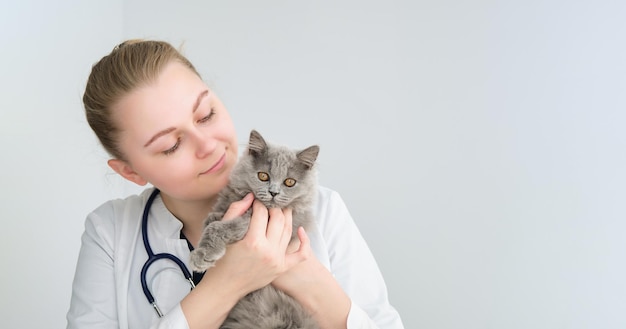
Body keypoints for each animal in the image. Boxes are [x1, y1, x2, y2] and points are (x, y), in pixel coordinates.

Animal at [188, 129, 320, 326]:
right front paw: (212, 221)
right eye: (263, 176)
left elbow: (217, 228)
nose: (273, 192)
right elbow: (212, 221)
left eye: (289, 182)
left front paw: (202, 256)